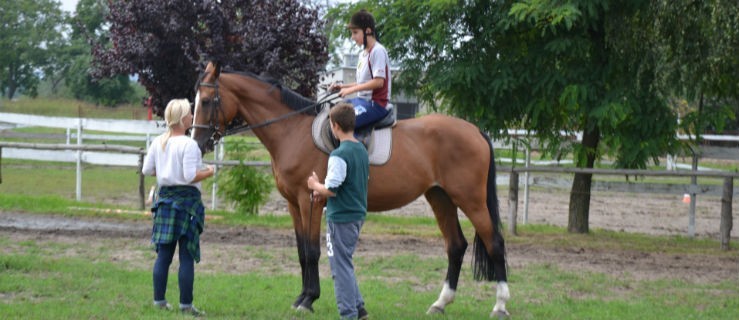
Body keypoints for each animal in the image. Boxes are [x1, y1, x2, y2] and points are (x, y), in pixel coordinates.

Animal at [192, 62, 508, 318]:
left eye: (206, 101)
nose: (197, 142)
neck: (292, 131)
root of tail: (475, 130)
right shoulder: (293, 204)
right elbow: (301, 251)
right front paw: (302, 297)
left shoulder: (310, 200)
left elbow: (311, 251)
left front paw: (308, 300)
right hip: (440, 197)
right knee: (456, 246)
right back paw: (440, 303)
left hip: (470, 199)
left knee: (494, 243)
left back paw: (500, 305)